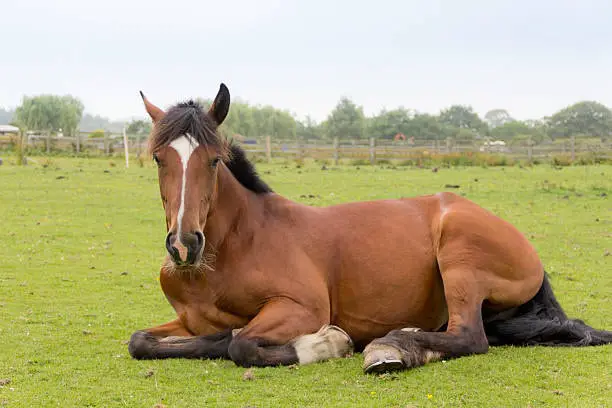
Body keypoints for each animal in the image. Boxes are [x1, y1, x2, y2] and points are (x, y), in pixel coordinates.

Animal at [126, 84, 608, 374]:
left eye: (213, 160)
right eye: (158, 158)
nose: (184, 245)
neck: (232, 249)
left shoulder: (302, 307)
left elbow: (240, 344)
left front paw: (326, 344)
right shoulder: (187, 321)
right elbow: (142, 341)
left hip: (460, 259)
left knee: (470, 337)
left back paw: (391, 345)